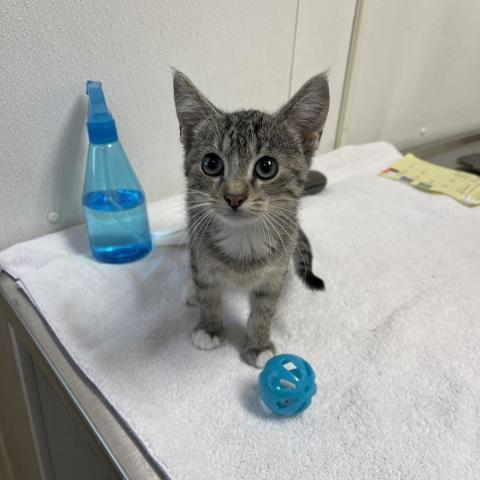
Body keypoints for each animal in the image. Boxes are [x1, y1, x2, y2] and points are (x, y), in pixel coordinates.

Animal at [173, 70, 330, 368]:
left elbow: (264, 309)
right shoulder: (201, 251)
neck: (243, 238)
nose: (234, 197)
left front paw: (258, 344)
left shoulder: (273, 276)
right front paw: (209, 328)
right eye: (211, 164)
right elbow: (207, 293)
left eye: (267, 167)